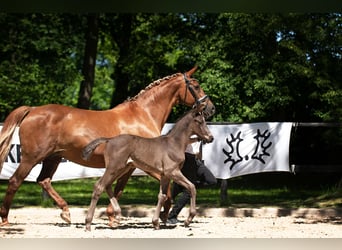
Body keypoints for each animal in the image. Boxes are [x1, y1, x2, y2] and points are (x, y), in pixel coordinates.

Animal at [81, 102, 212, 230]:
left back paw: (117, 215)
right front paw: (188, 220)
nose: (211, 138)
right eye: (199, 122)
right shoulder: (173, 172)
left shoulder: (165, 175)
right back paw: (88, 223)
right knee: (99, 186)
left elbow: (162, 196)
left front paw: (156, 223)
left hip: (122, 168)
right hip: (114, 168)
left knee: (107, 185)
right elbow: (192, 187)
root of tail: (110, 140)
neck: (174, 144)